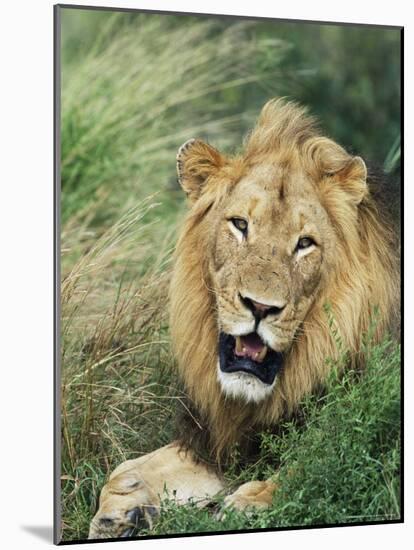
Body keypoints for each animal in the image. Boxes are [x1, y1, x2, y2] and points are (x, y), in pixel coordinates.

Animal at [89, 98, 400, 540]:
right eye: (240, 224)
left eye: (305, 243)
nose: (260, 307)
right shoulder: (221, 441)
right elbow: (124, 469)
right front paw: (122, 511)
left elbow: (315, 468)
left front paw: (249, 505)